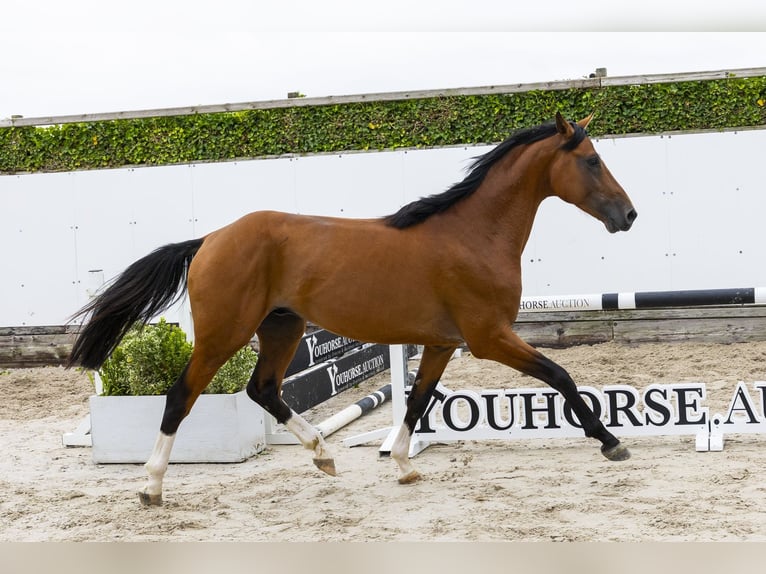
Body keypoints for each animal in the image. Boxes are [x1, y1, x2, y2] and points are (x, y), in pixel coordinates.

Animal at [68, 112, 637, 506]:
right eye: (591, 160)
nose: (628, 215)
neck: (473, 234)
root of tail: (209, 239)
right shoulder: (489, 337)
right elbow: (560, 376)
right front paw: (611, 442)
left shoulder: (442, 343)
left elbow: (416, 401)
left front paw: (404, 465)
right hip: (223, 334)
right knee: (181, 396)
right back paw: (152, 486)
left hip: (282, 328)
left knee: (262, 389)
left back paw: (323, 454)